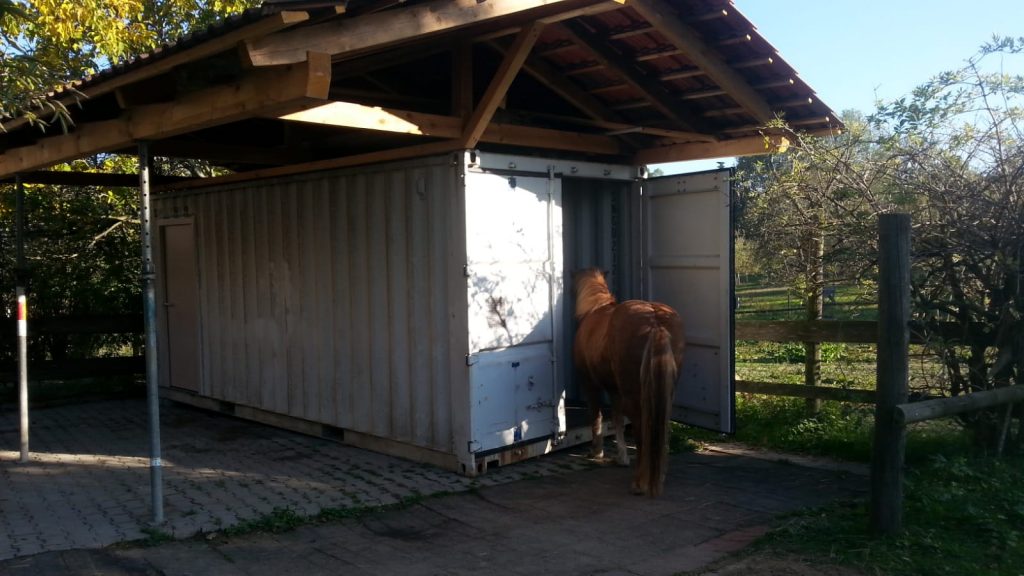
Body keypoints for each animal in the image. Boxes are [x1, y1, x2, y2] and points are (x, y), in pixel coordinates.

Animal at [573, 266, 684, 496]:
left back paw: (639, 483)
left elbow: (596, 415)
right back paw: (658, 476)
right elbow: (616, 420)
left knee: (642, 431)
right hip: (665, 392)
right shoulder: (615, 389)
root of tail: (654, 320)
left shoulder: (590, 384)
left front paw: (597, 451)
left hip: (634, 396)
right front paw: (621, 456)